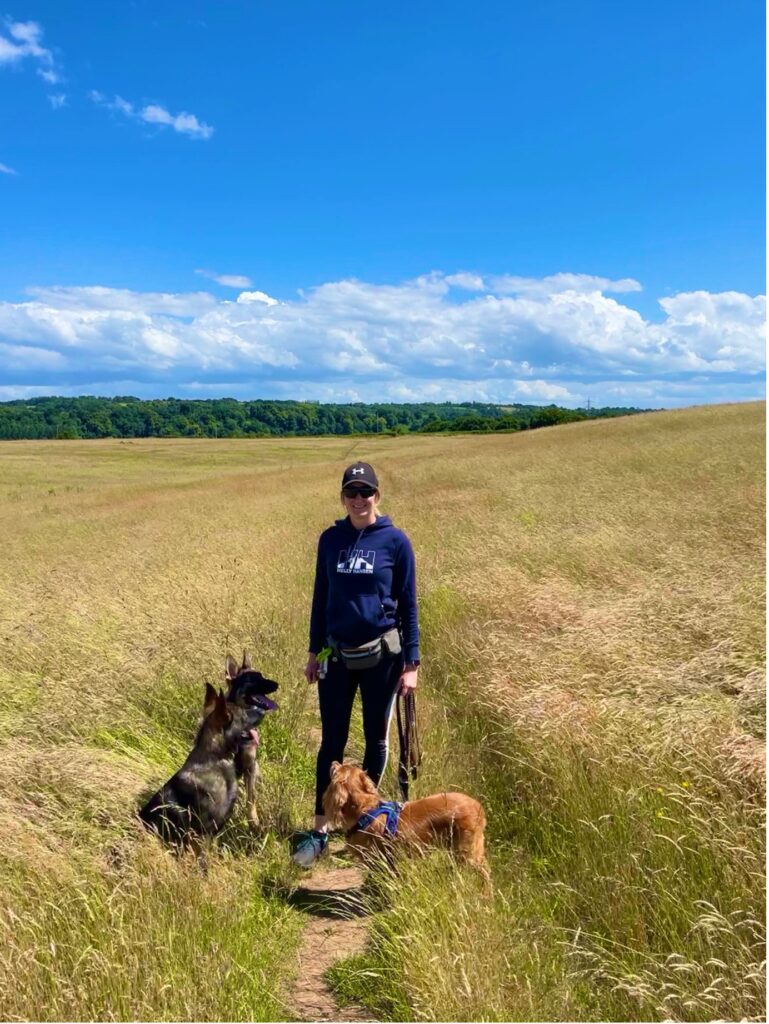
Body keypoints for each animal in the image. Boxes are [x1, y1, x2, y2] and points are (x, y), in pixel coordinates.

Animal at [321, 761, 489, 888]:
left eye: (337, 769)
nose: (334, 761)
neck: (366, 810)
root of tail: (477, 805)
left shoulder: (379, 859)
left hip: (466, 852)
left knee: (485, 873)